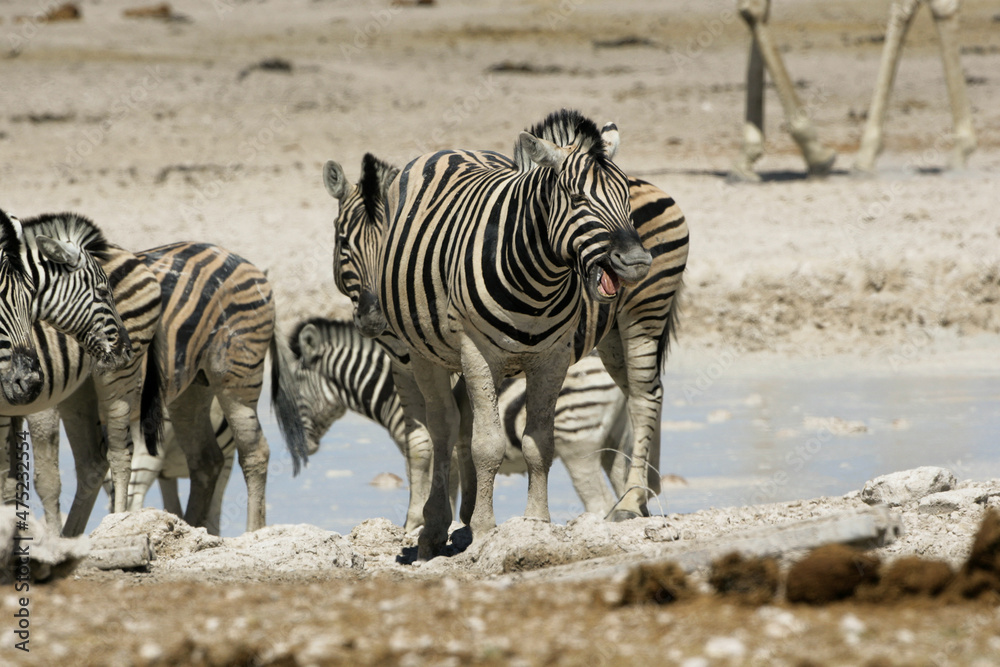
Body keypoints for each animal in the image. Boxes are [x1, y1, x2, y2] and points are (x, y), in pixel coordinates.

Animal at [324, 125, 687, 548]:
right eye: (344, 242)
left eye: (623, 198)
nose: (637, 262)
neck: (538, 273)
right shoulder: (440, 356)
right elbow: (448, 439)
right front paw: (448, 521)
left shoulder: (550, 356)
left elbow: (532, 441)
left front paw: (517, 522)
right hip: (607, 337)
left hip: (645, 312)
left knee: (646, 398)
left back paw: (632, 499)